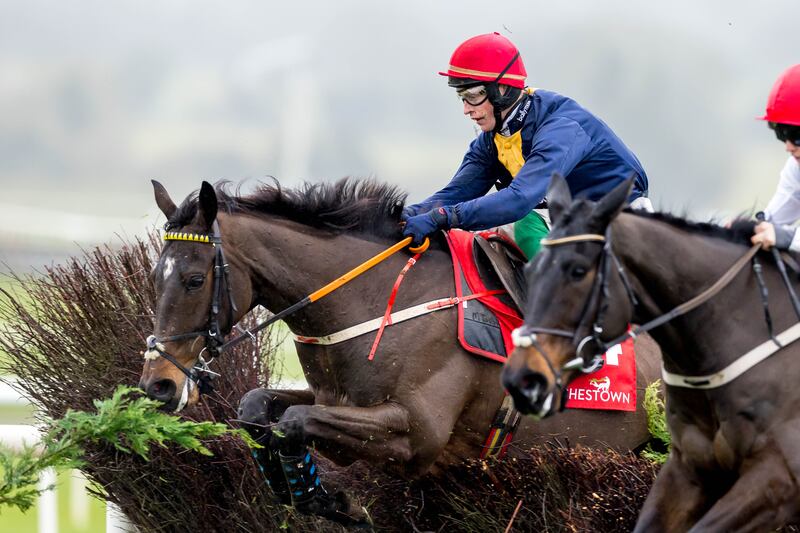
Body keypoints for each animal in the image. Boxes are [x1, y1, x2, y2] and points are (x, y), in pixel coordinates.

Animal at [139, 177, 664, 524]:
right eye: (155, 278)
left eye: (194, 279)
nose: (157, 385)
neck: (372, 300)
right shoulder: (335, 398)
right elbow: (257, 408)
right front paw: (304, 491)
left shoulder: (417, 435)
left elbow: (293, 423)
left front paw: (331, 500)